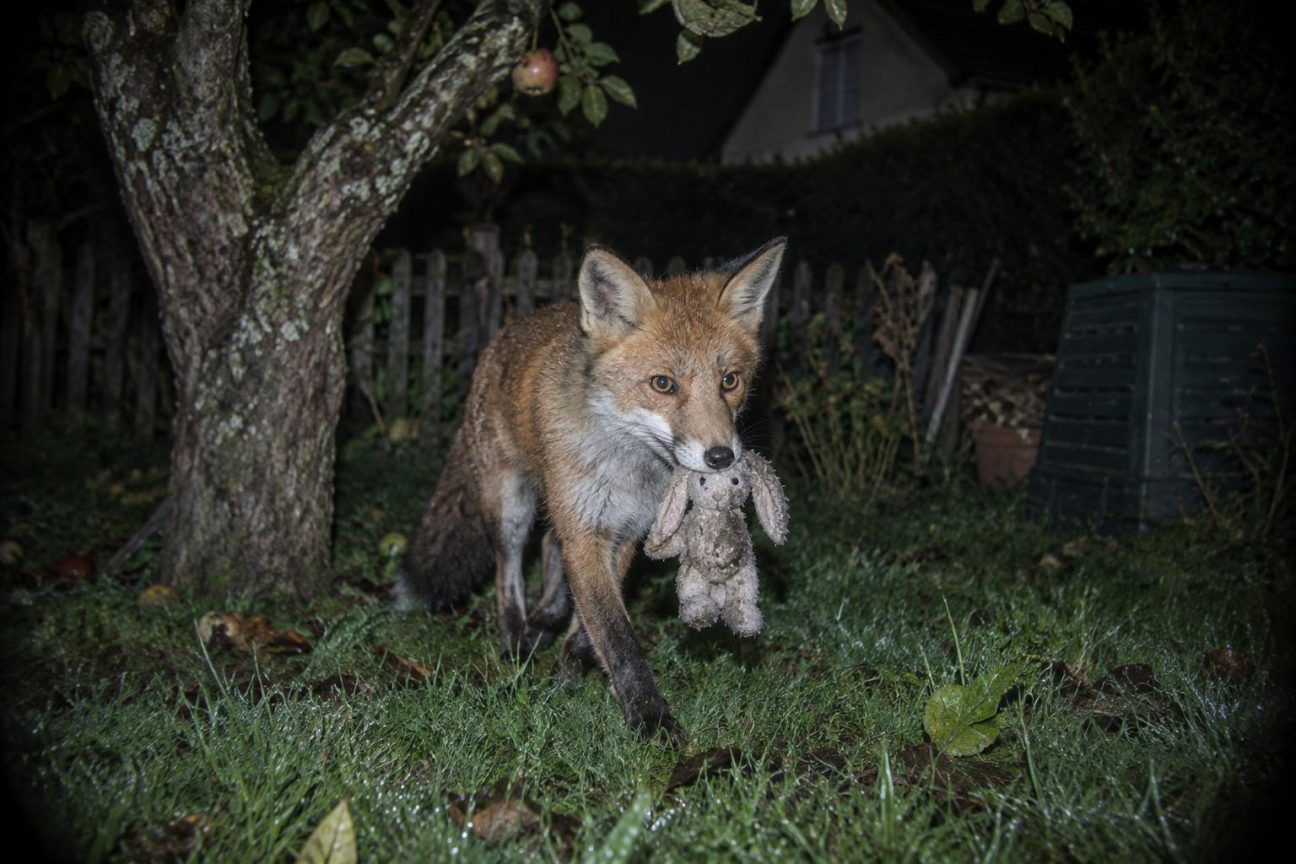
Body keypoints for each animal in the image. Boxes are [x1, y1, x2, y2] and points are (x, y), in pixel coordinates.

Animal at [395, 237, 787, 741]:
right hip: (511, 503)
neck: (629, 468)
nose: (721, 457)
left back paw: (546, 617)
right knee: (508, 567)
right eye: (663, 384)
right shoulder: (587, 531)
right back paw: (515, 640)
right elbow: (617, 635)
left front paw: (567, 672)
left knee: (549, 546)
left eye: (730, 381)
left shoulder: (626, 533)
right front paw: (650, 718)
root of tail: (511, 330)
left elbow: (589, 625)